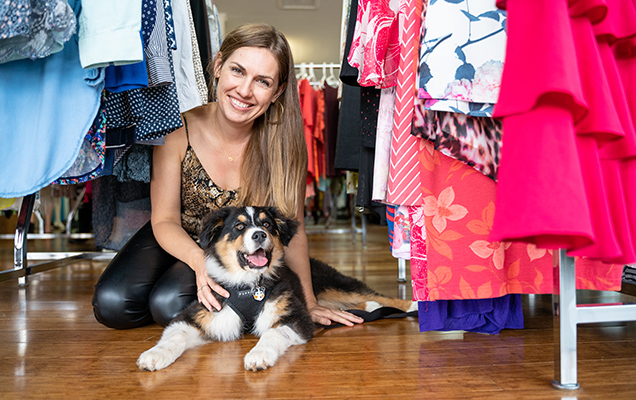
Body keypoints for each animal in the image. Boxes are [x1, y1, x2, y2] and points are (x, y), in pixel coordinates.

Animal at [138, 206, 418, 372]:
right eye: (239, 227)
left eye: (267, 225)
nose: (259, 235)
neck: (250, 284)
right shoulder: (203, 310)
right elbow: (173, 335)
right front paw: (153, 355)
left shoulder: (295, 315)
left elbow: (272, 333)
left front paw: (258, 355)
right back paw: (368, 309)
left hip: (332, 284)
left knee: (375, 294)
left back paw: (414, 305)